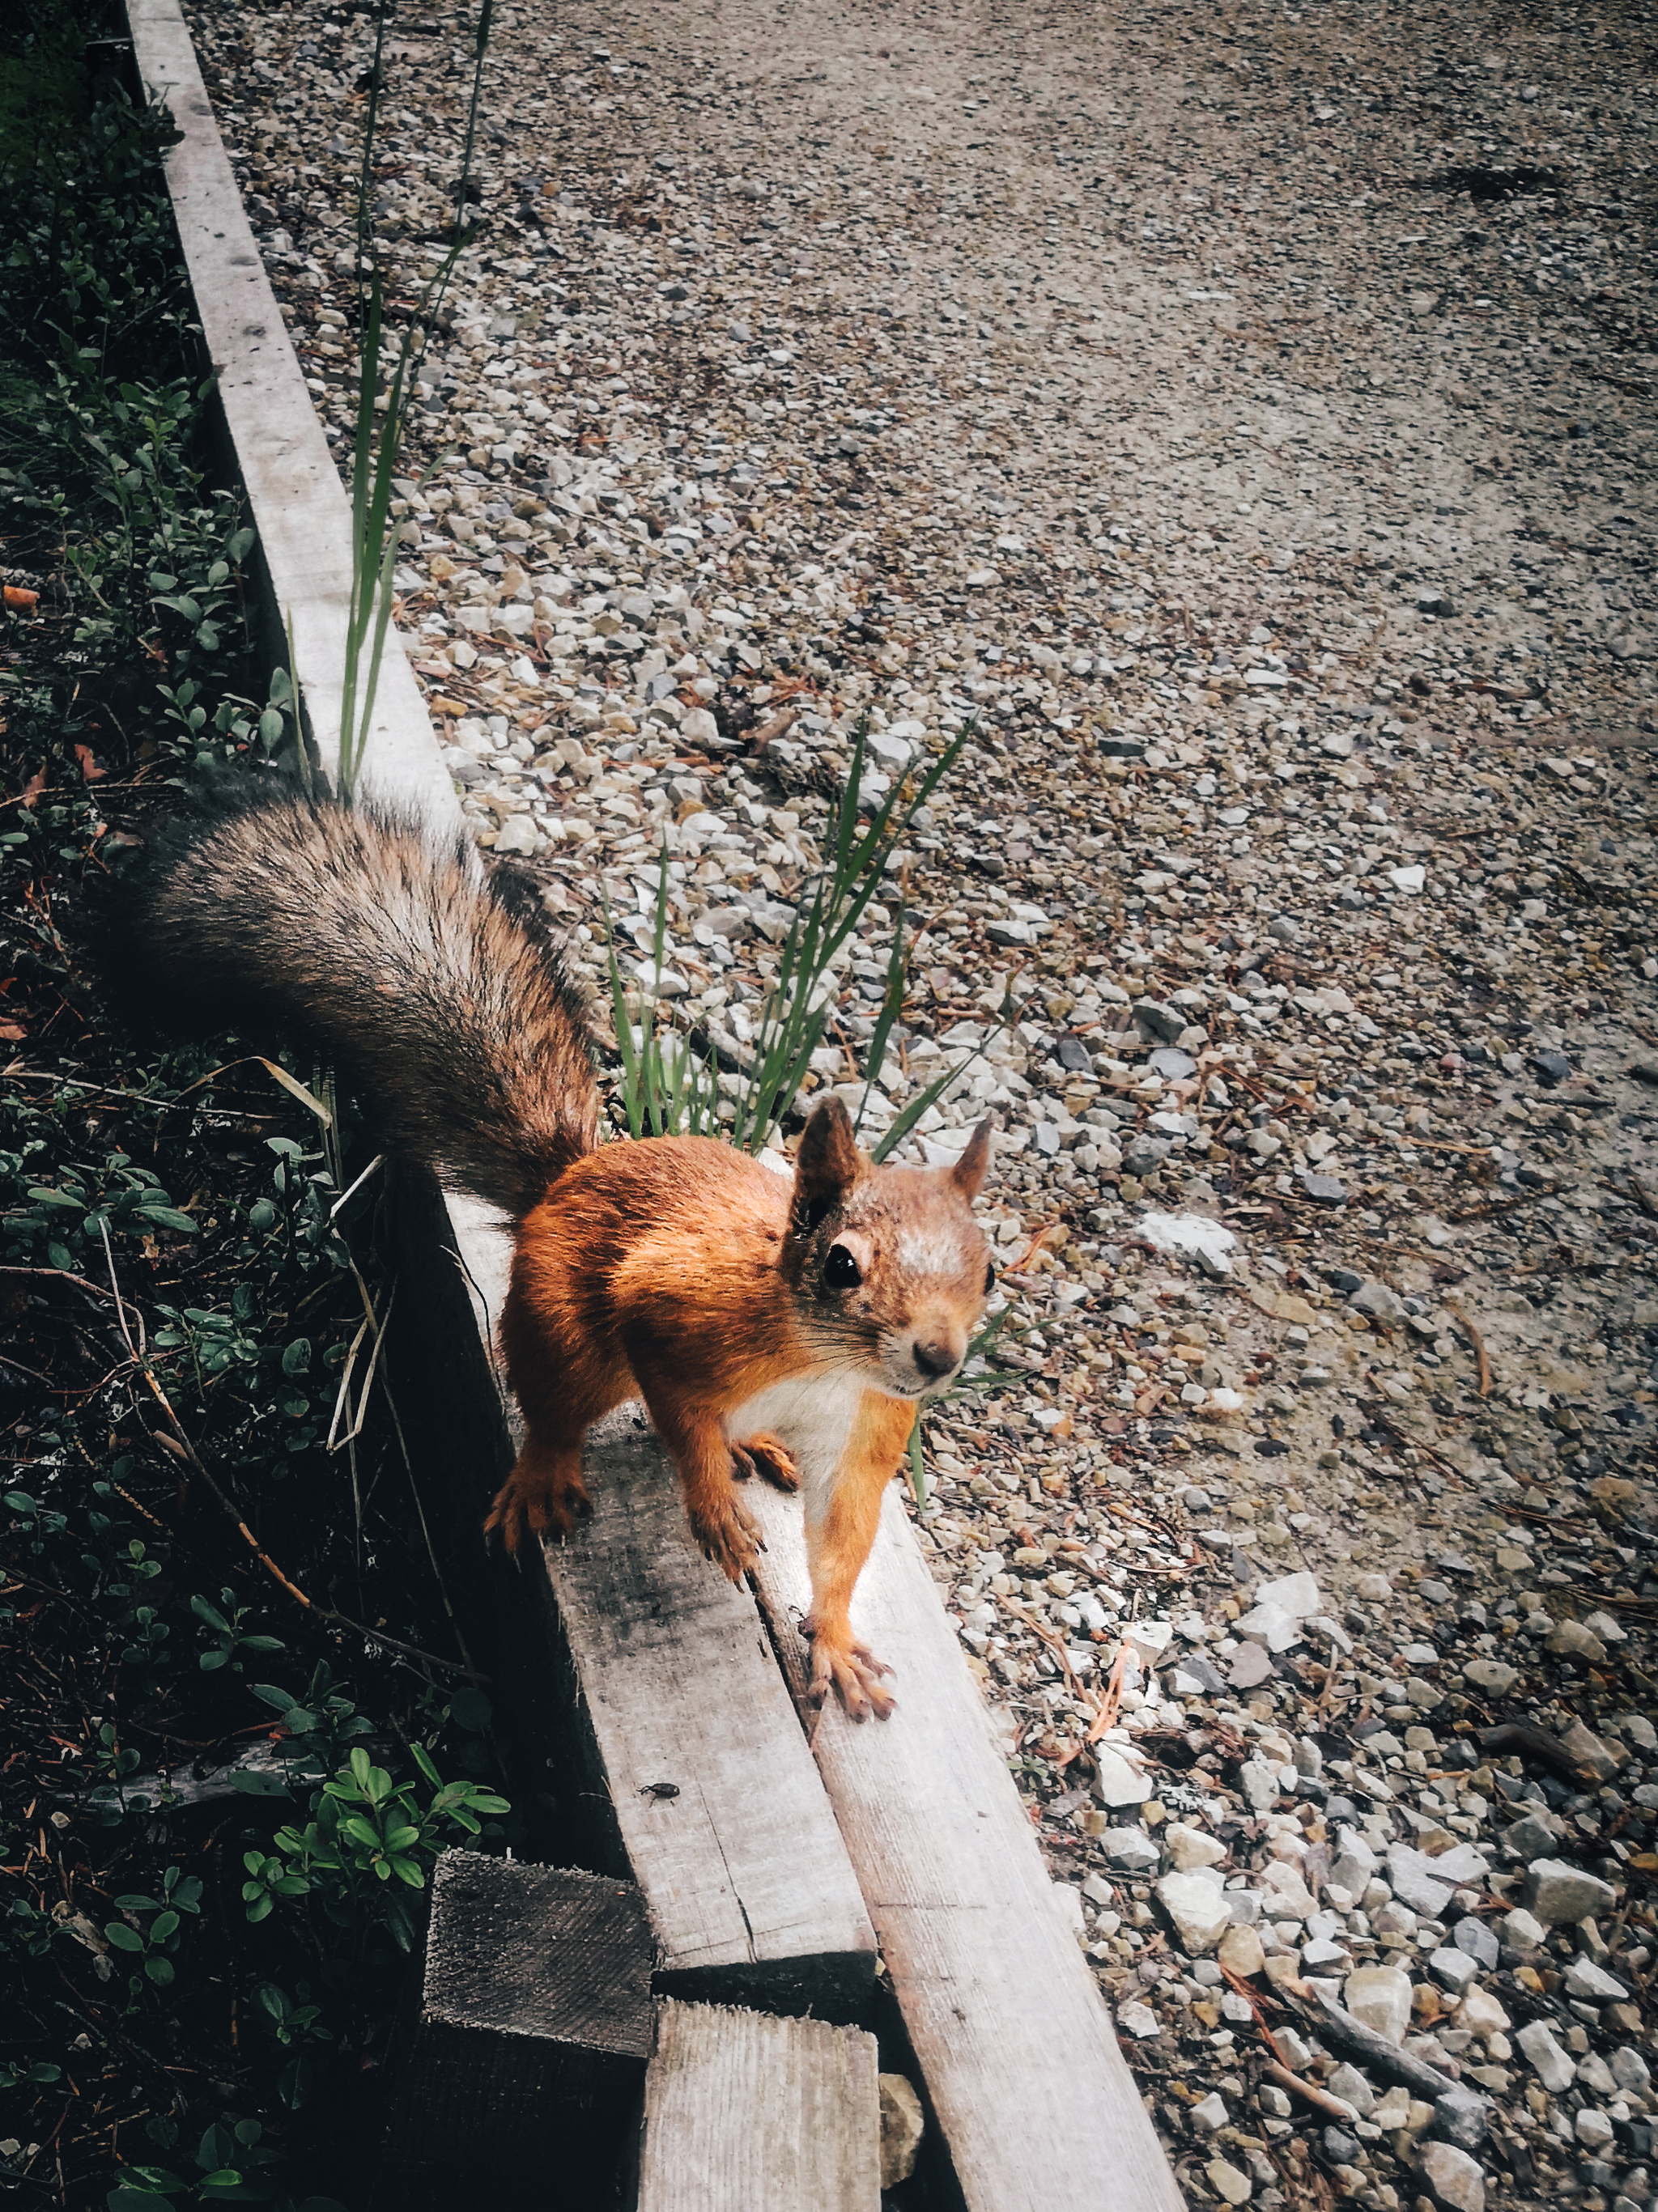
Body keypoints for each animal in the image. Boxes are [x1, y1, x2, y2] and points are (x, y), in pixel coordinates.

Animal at [122, 787, 996, 1716]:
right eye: (841, 1263)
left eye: (989, 1270)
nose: (937, 1357)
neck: (825, 1366)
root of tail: (564, 1180)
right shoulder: (679, 1317)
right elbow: (677, 1410)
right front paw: (712, 1508)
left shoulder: (866, 1433)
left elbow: (838, 1545)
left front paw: (832, 1640)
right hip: (567, 1332)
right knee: (558, 1405)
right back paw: (550, 1471)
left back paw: (755, 1444)